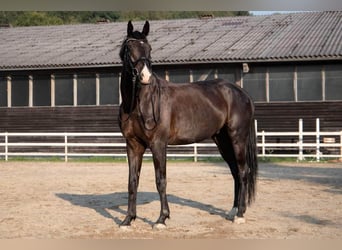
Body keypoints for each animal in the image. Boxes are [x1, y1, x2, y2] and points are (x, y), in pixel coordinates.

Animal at [119, 21, 258, 229]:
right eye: (130, 47)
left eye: (149, 48)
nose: (145, 77)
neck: (139, 103)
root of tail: (241, 93)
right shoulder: (133, 145)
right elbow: (132, 181)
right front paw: (128, 219)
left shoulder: (158, 144)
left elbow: (161, 180)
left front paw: (161, 219)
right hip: (222, 140)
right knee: (234, 171)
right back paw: (232, 211)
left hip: (237, 138)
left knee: (242, 171)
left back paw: (240, 214)